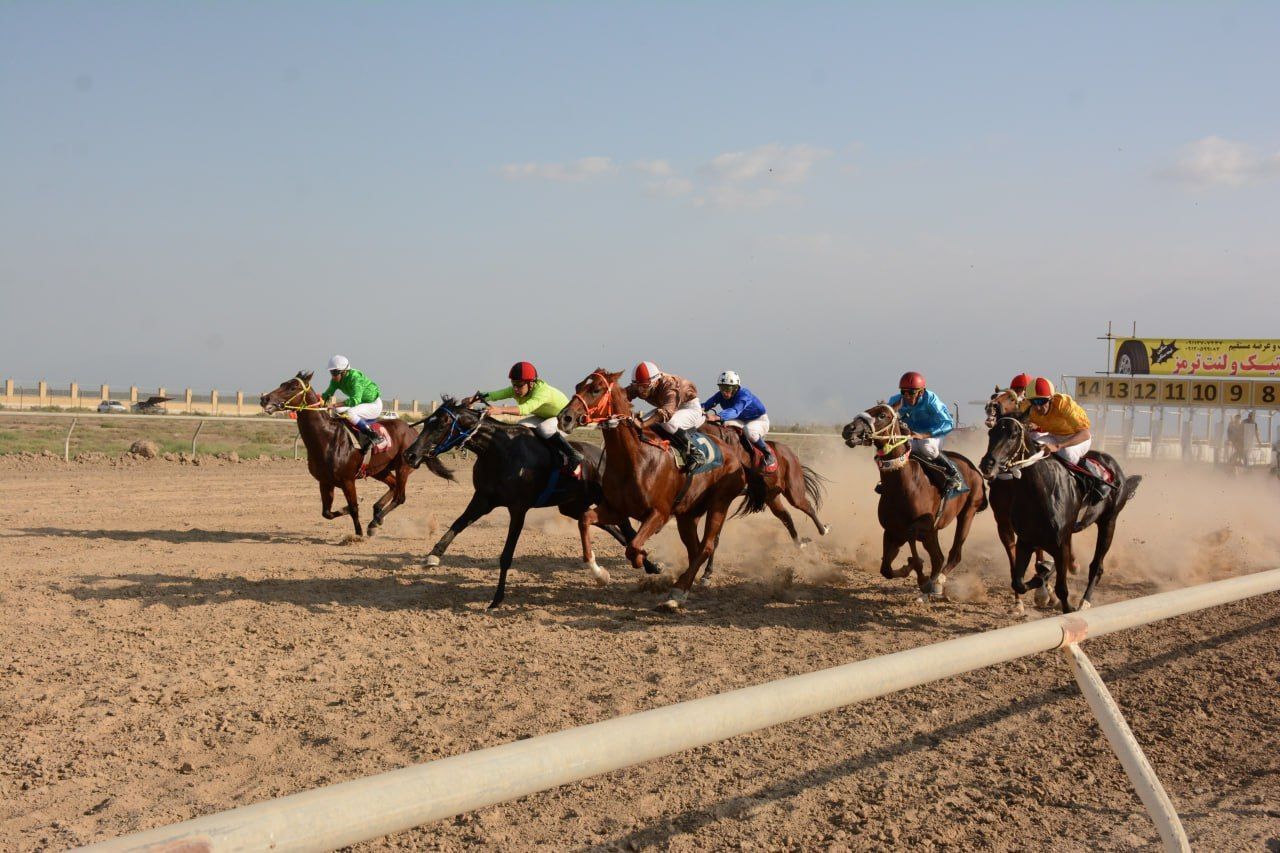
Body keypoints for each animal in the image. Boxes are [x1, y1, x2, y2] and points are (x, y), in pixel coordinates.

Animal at [258, 368, 419, 535]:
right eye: (282, 384)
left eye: (293, 387)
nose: (264, 399)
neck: (326, 439)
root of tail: (412, 429)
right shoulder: (325, 481)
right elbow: (327, 513)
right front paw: (348, 508)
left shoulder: (348, 481)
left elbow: (354, 508)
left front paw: (358, 534)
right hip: (379, 469)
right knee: (393, 486)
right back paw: (376, 516)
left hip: (403, 467)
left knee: (400, 497)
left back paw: (375, 520)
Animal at [401, 394, 660, 607]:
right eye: (427, 422)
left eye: (442, 424)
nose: (410, 455)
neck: (499, 450)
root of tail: (603, 457)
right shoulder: (483, 499)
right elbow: (457, 524)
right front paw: (432, 556)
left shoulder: (518, 508)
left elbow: (507, 554)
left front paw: (497, 599)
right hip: (572, 506)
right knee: (611, 529)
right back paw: (610, 572)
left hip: (607, 501)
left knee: (627, 531)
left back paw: (649, 565)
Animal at [555, 368, 762, 607]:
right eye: (579, 386)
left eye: (596, 389)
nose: (564, 418)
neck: (635, 457)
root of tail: (736, 457)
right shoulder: (616, 509)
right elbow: (585, 520)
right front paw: (600, 574)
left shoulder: (659, 513)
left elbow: (633, 546)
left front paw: (645, 560)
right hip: (688, 514)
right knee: (695, 549)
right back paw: (684, 587)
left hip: (719, 504)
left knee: (707, 546)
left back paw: (677, 593)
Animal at [839, 404, 988, 596]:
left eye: (882, 415)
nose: (849, 429)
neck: (904, 484)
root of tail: (975, 470)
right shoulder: (892, 530)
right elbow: (885, 569)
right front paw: (908, 569)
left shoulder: (922, 525)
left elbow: (912, 537)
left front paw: (921, 577)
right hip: (934, 531)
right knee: (938, 557)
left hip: (968, 512)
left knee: (954, 554)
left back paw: (938, 581)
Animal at [977, 412, 1141, 607]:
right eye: (991, 433)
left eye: (1013, 435)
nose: (987, 464)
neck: (1040, 492)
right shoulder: (1026, 540)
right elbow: (1019, 582)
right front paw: (1041, 581)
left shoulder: (1059, 542)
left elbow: (1062, 589)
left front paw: (1061, 602)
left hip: (1109, 521)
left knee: (1096, 566)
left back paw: (1084, 602)